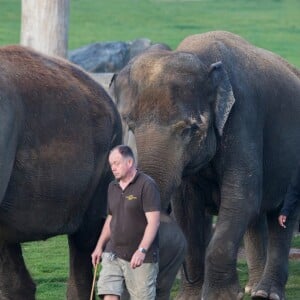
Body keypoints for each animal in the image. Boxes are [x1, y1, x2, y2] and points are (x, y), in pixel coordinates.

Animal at [109, 31, 300, 300]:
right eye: (131, 125)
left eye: (190, 129)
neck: (201, 58)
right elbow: (186, 210)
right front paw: (190, 297)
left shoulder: (243, 116)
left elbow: (241, 198)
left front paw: (223, 296)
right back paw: (253, 287)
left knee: (281, 217)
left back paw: (265, 293)